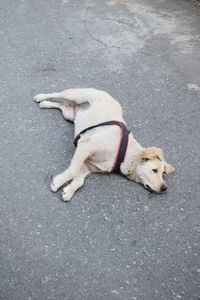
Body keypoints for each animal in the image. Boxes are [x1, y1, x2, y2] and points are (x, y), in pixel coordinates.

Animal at [33, 88, 175, 200]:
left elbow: (79, 181)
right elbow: (72, 171)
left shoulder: (86, 165)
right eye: (154, 170)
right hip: (76, 95)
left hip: (69, 114)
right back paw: (40, 97)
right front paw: (57, 182)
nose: (165, 188)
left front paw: (69, 191)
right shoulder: (86, 145)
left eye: (163, 173)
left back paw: (45, 104)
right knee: (57, 94)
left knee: (63, 106)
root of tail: (108, 94)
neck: (125, 154)